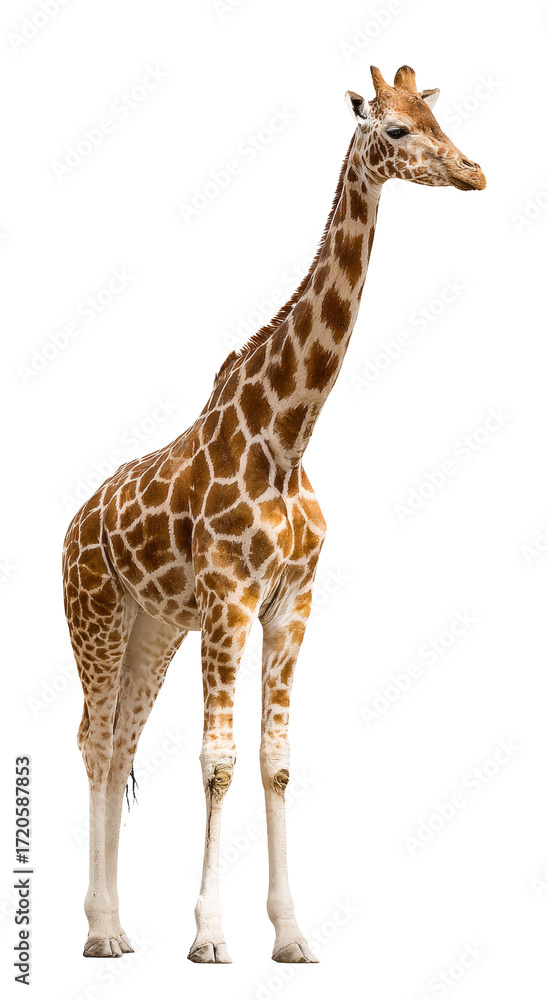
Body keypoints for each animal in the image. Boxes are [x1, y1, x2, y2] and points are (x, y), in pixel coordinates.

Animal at [63, 65, 486, 964]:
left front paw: (291, 935)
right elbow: (218, 759)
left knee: (121, 742)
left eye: (436, 114)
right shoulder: (229, 597)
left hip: (155, 626)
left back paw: (117, 927)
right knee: (93, 740)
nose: (474, 172)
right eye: (395, 129)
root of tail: (73, 522)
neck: (286, 434)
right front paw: (210, 937)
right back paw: (101, 931)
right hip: (97, 614)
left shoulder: (292, 601)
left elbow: (276, 760)